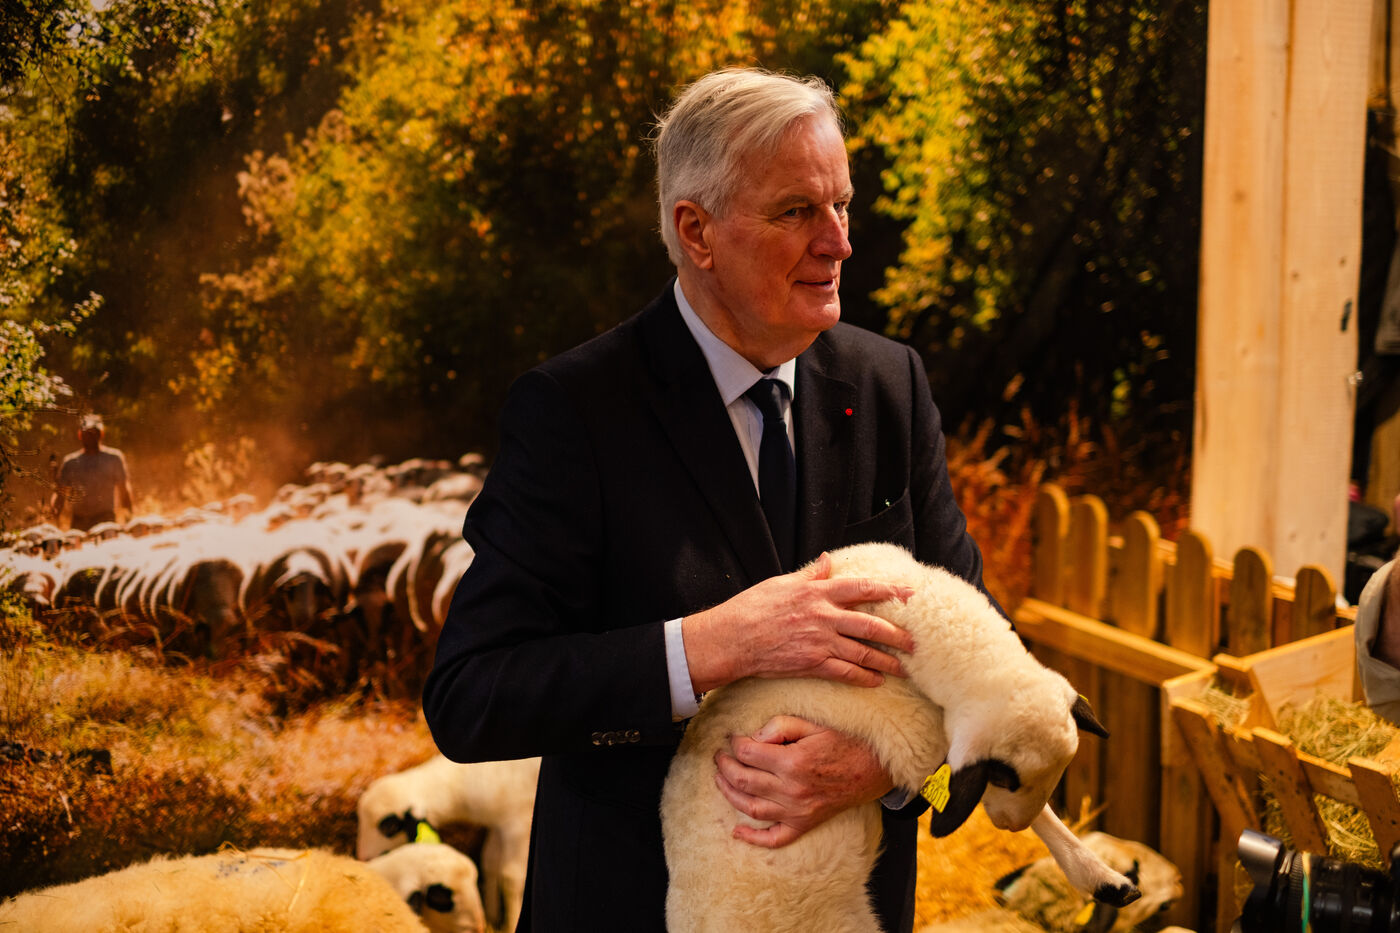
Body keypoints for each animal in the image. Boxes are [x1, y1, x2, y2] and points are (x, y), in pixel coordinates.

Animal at [357, 754, 540, 932]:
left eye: (390, 826)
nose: (362, 857)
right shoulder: (497, 824)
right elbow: (490, 864)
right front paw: (492, 916)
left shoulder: (519, 823)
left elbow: (511, 876)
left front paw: (510, 924)